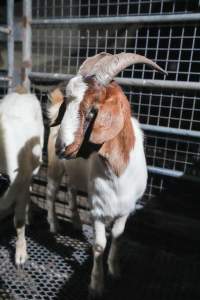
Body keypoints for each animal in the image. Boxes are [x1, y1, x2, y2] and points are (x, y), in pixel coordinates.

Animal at [47, 52, 167, 296]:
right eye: (68, 104)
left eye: (93, 110)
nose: (61, 148)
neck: (117, 173)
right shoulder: (97, 209)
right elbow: (100, 245)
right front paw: (96, 285)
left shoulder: (126, 209)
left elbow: (118, 237)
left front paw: (114, 269)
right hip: (56, 169)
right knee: (52, 192)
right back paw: (54, 225)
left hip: (74, 174)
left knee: (71, 189)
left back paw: (75, 221)